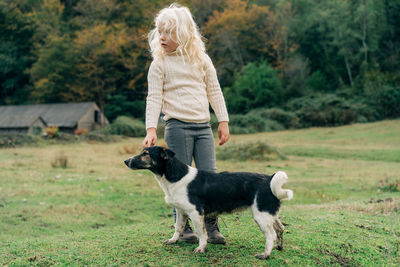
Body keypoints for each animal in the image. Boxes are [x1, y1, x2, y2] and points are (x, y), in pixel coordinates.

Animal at [125, 147, 294, 260]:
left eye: (146, 153)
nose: (126, 161)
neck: (175, 176)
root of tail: (269, 179)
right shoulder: (180, 212)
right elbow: (178, 228)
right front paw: (173, 241)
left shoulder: (196, 213)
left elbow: (202, 233)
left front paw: (201, 248)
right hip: (269, 214)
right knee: (280, 228)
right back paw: (279, 247)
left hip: (261, 216)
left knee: (271, 235)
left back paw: (266, 254)